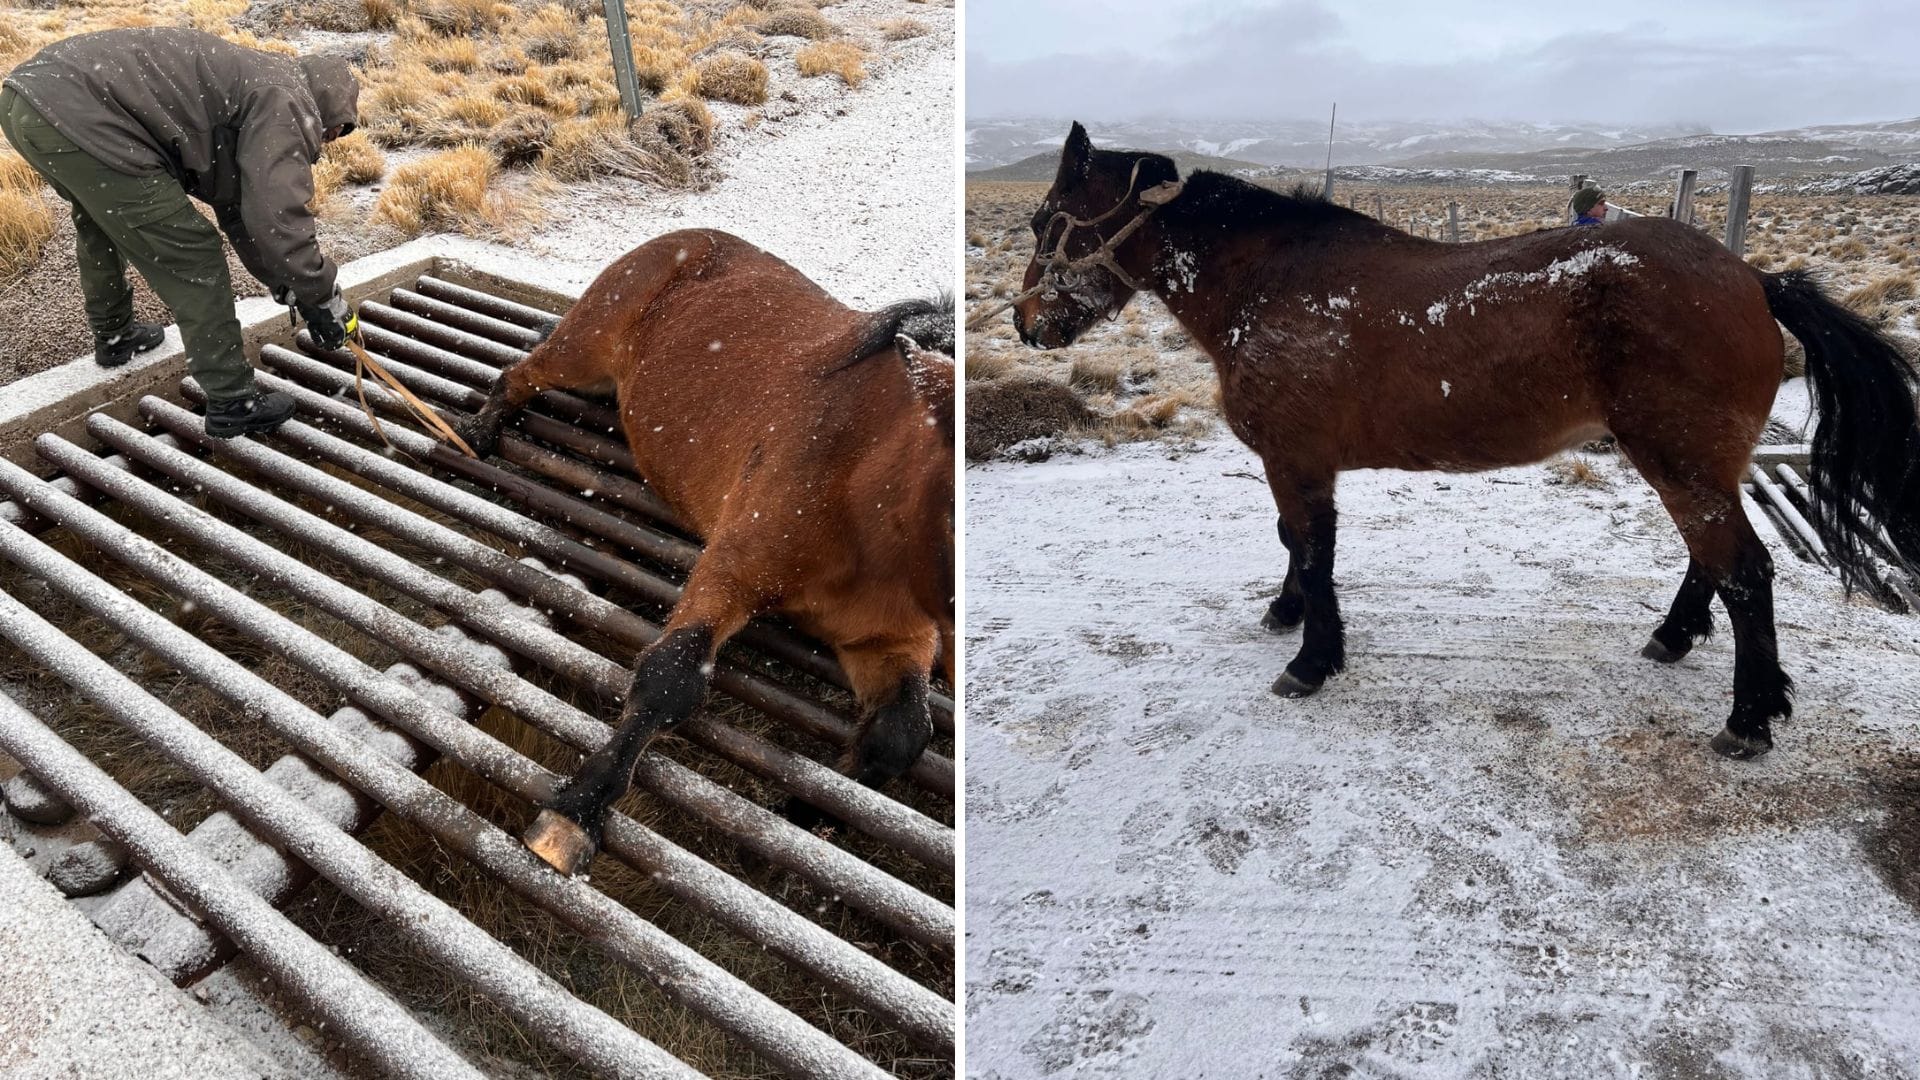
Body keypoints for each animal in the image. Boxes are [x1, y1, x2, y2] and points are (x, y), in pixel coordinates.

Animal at [458, 228, 954, 875]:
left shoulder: (887, 639)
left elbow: (900, 734)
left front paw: (801, 817)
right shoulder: (730, 572)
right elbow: (673, 677)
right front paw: (576, 815)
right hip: (581, 351)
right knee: (518, 374)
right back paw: (482, 432)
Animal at [1006, 122, 1920, 760]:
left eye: (1045, 220)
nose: (1024, 324)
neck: (1268, 285)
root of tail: (1753, 278)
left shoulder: (1297, 460)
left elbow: (1311, 548)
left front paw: (1312, 658)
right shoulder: (1296, 463)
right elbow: (1296, 545)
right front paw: (1286, 612)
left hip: (1682, 462)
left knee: (1745, 572)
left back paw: (1749, 718)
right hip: (1690, 463)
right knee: (1713, 562)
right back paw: (1673, 637)